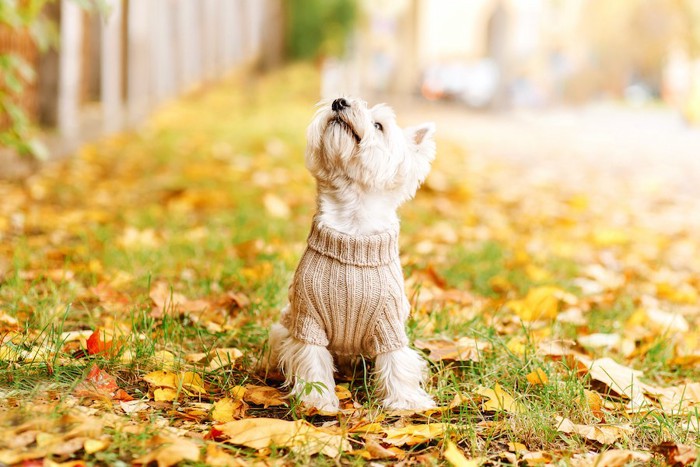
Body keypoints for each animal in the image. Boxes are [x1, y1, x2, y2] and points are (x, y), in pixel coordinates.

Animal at [270, 96, 438, 414]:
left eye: (379, 125)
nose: (339, 102)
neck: (352, 232)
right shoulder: (308, 319)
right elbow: (311, 359)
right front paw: (317, 399)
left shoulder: (388, 322)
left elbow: (397, 360)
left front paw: (406, 401)